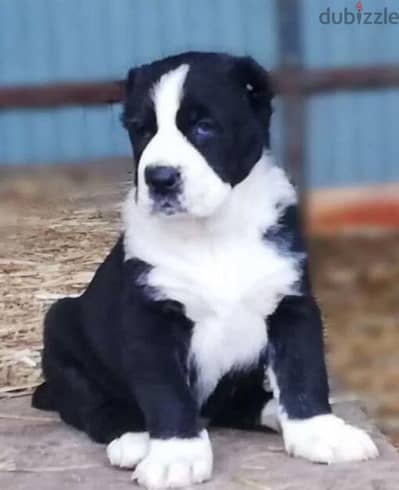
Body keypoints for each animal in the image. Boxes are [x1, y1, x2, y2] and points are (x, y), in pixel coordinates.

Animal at [32, 51, 380, 488]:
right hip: (60, 326)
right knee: (89, 406)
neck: (213, 231)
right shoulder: (150, 320)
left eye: (203, 127)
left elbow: (304, 372)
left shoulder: (292, 304)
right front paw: (176, 455)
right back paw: (133, 436)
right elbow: (166, 392)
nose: (160, 178)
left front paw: (318, 432)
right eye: (142, 130)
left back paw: (271, 412)